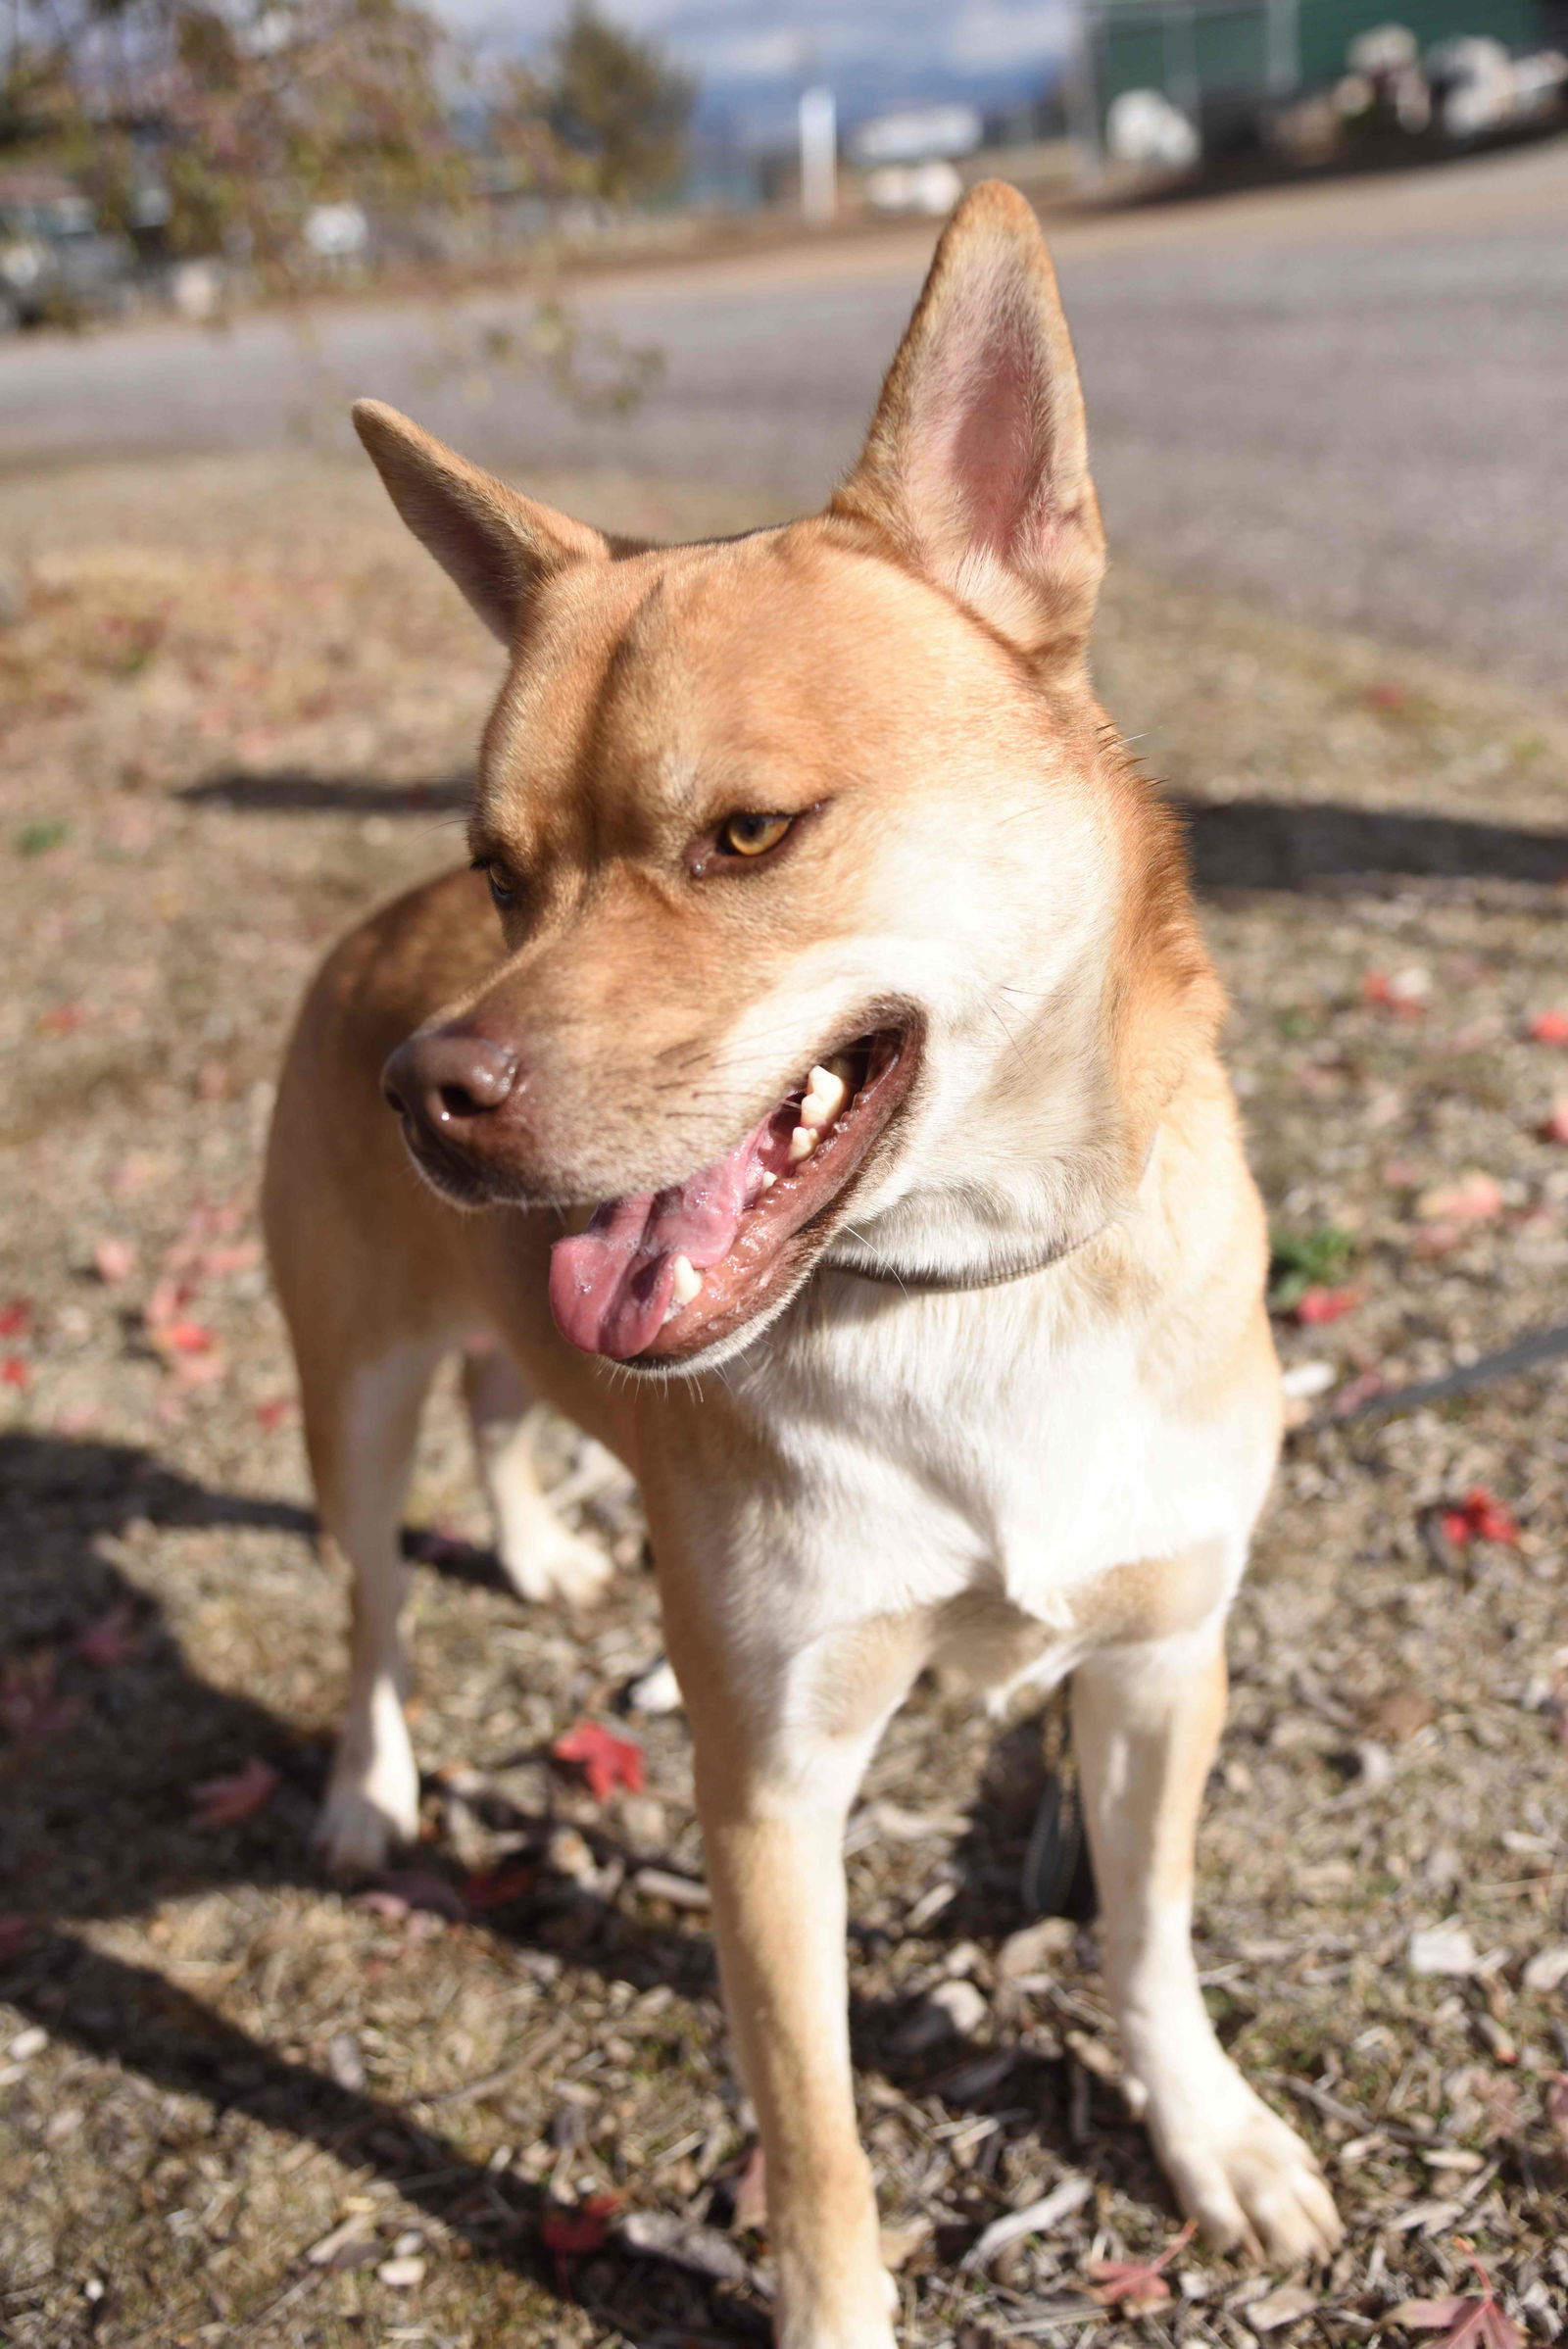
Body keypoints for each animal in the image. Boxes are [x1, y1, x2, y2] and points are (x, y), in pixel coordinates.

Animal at [263, 178, 1343, 2329]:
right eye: (507, 866)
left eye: (744, 835)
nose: (431, 1095)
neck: (972, 1297)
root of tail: (366, 943)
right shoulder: (767, 1785)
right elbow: (819, 2132)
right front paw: (835, 2304)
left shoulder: (1158, 1659)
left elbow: (1147, 1930)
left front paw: (1206, 2130)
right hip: (350, 1401)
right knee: (371, 1606)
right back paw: (368, 1789)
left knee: (510, 1410)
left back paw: (531, 1545)